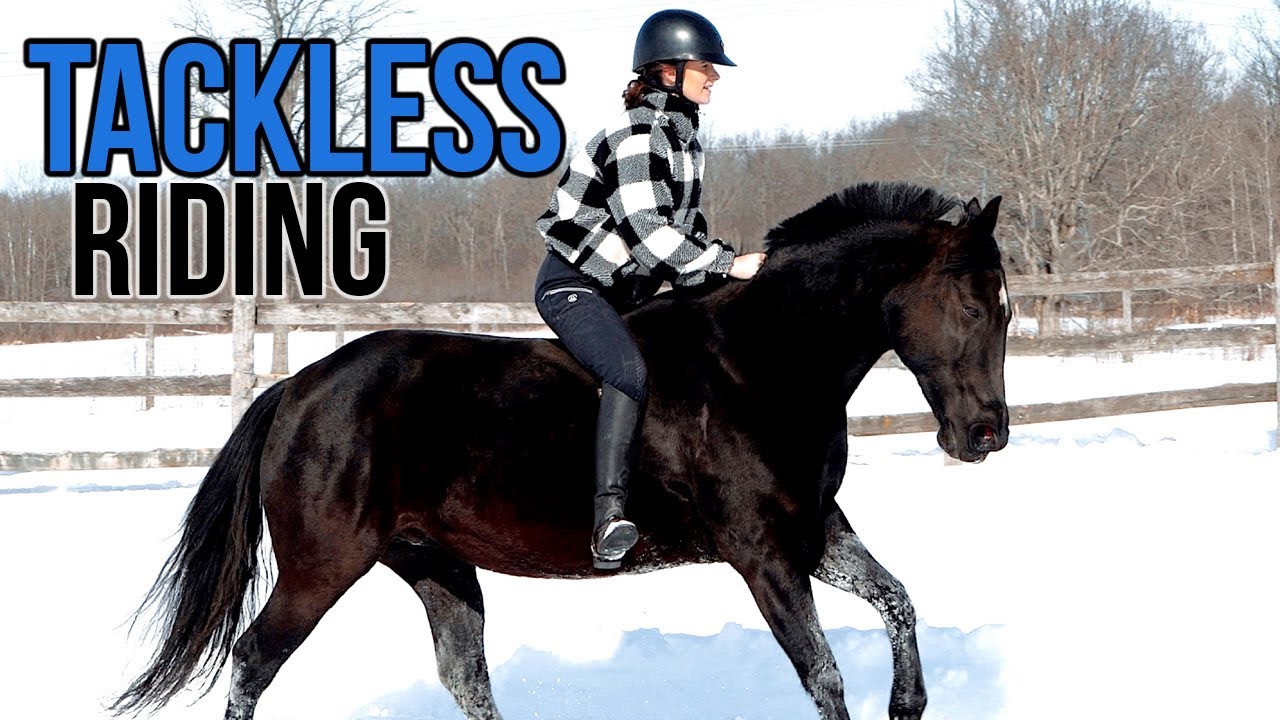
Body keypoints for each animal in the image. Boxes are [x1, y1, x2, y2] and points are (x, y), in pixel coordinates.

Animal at [112, 181, 1011, 720]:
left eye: (1006, 306)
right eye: (973, 301)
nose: (986, 436)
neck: (763, 362)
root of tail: (297, 388)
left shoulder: (813, 532)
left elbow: (897, 601)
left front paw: (908, 704)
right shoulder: (763, 554)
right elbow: (822, 673)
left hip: (434, 564)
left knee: (465, 676)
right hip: (321, 566)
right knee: (254, 659)